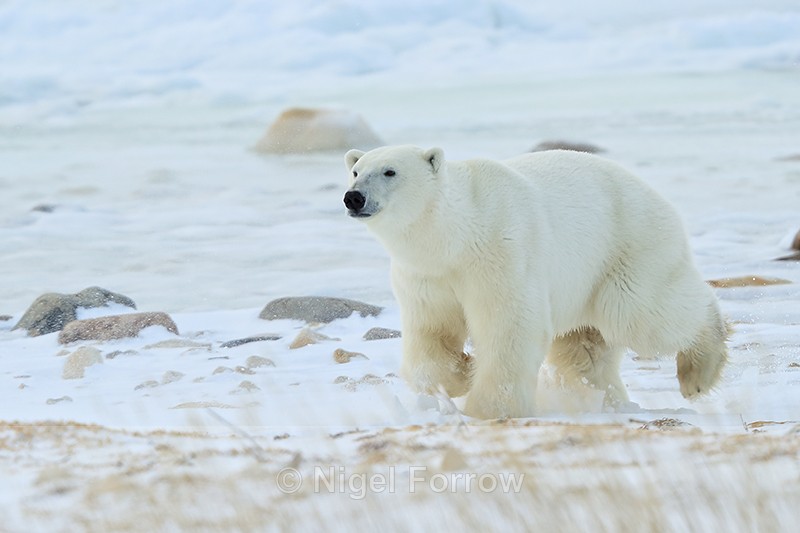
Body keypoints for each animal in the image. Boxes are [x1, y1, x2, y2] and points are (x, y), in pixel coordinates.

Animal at [343, 145, 728, 419]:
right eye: (355, 171)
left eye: (390, 171)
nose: (353, 197)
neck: (455, 236)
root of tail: (659, 198)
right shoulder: (425, 276)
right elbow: (431, 334)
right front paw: (460, 373)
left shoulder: (499, 253)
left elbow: (509, 327)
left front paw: (489, 408)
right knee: (584, 350)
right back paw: (607, 400)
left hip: (628, 246)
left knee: (641, 314)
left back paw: (698, 372)